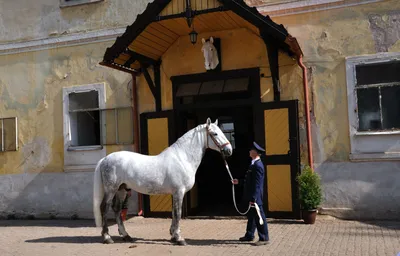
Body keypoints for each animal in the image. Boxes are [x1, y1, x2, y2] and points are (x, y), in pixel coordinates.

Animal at [92, 118, 233, 246]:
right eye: (215, 134)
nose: (229, 150)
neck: (182, 158)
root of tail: (105, 159)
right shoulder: (179, 191)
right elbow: (178, 213)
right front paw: (179, 238)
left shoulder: (175, 193)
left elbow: (173, 213)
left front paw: (173, 236)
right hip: (111, 189)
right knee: (104, 208)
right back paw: (107, 237)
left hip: (122, 189)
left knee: (117, 209)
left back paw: (126, 236)